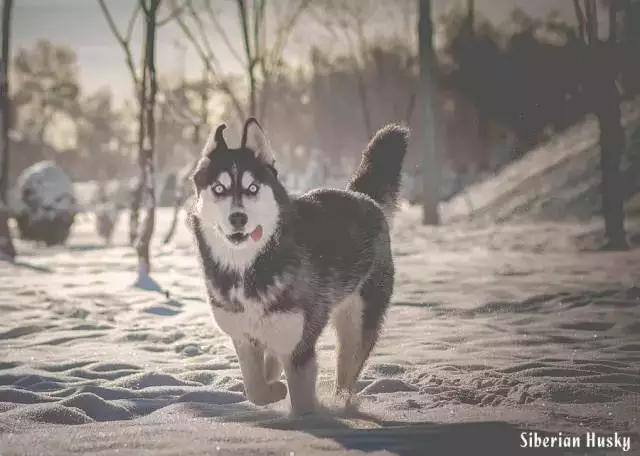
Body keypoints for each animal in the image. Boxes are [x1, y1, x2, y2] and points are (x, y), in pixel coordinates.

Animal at [188, 118, 408, 416]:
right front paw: (273, 389)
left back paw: (341, 403)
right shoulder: (243, 337)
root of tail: (362, 196)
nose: (238, 218)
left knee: (347, 372)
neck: (249, 269)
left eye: (253, 188)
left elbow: (300, 400)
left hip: (358, 322)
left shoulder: (298, 345)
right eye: (219, 189)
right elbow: (255, 388)